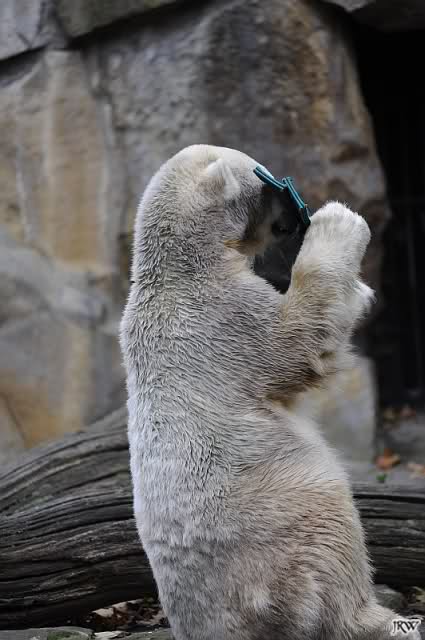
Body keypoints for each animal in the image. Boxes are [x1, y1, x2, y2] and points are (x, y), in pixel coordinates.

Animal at [120, 144, 420, 639]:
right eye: (264, 176)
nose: (292, 218)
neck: (180, 269)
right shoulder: (221, 317)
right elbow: (298, 340)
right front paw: (340, 221)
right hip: (283, 525)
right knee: (331, 536)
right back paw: (382, 619)